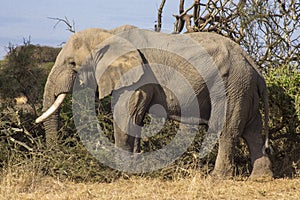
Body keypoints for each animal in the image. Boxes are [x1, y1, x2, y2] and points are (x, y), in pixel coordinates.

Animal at [36, 24, 274, 178]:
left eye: (72, 63)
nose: (55, 161)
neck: (109, 34)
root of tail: (255, 68)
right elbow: (136, 118)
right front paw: (135, 168)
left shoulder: (137, 76)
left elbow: (125, 116)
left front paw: (120, 173)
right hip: (244, 89)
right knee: (252, 131)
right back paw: (261, 178)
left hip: (232, 86)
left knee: (226, 129)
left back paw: (217, 178)